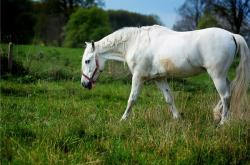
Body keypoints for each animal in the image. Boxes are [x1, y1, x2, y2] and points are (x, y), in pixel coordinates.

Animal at [81, 25, 249, 124]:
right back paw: (216, 114)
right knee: (230, 89)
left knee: (225, 95)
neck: (135, 43)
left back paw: (223, 123)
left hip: (217, 75)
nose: (84, 84)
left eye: (88, 61)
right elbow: (169, 98)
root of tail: (232, 35)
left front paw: (123, 119)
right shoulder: (160, 78)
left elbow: (132, 99)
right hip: (222, 75)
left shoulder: (138, 77)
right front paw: (177, 118)